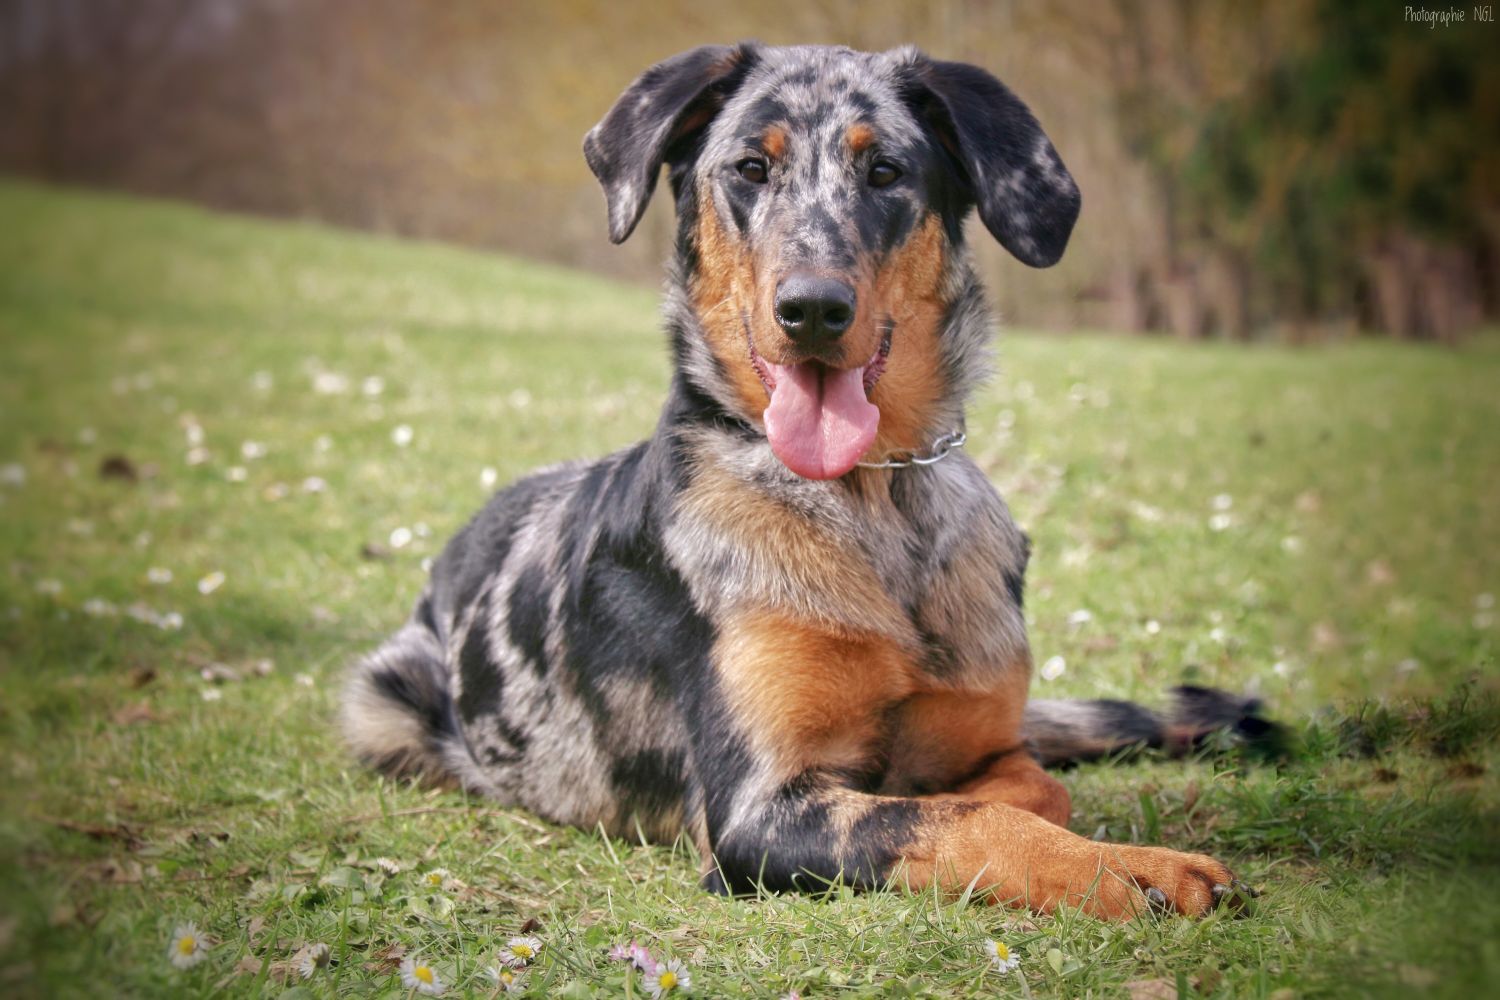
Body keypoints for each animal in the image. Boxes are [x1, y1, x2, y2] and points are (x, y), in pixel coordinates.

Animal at [343, 43, 1266, 917]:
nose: (813, 309)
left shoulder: (988, 738)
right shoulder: (758, 811)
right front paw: (1129, 868)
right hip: (386, 694)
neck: (878, 494)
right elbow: (964, 815)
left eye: (885, 171)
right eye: (750, 168)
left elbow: (1027, 788)